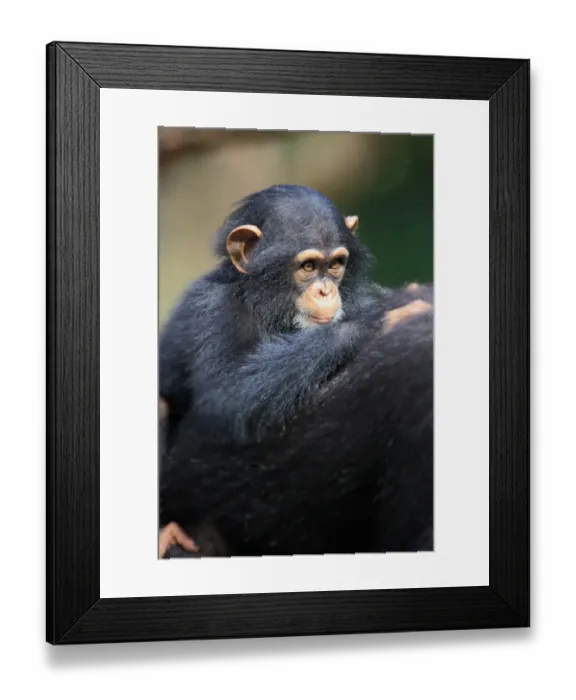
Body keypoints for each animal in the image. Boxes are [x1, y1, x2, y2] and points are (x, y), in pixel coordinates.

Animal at [159, 282, 434, 557]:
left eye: (334, 272)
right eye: (306, 272)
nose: (326, 291)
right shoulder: (214, 311)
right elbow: (232, 390)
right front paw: (379, 319)